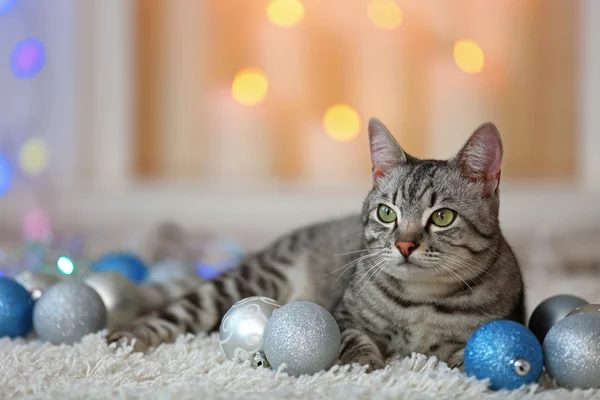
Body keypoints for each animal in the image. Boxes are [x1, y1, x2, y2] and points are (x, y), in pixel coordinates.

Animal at [108, 119, 524, 372]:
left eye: (442, 217)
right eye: (386, 213)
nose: (404, 245)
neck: (421, 303)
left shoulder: (485, 330)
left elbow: (470, 355)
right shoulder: (344, 317)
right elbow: (355, 340)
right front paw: (366, 365)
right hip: (246, 282)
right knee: (171, 313)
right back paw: (124, 338)